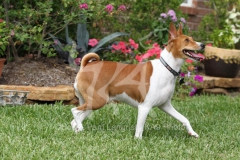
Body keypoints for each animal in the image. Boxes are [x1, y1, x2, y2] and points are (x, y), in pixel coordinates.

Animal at [71, 22, 204, 139]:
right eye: (187, 40)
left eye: (192, 38)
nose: (203, 44)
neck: (166, 67)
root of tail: (86, 65)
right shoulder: (144, 106)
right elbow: (139, 130)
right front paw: (138, 141)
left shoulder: (165, 105)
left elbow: (184, 119)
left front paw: (192, 133)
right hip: (98, 101)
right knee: (74, 111)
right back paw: (80, 128)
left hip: (93, 103)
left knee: (74, 121)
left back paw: (78, 131)